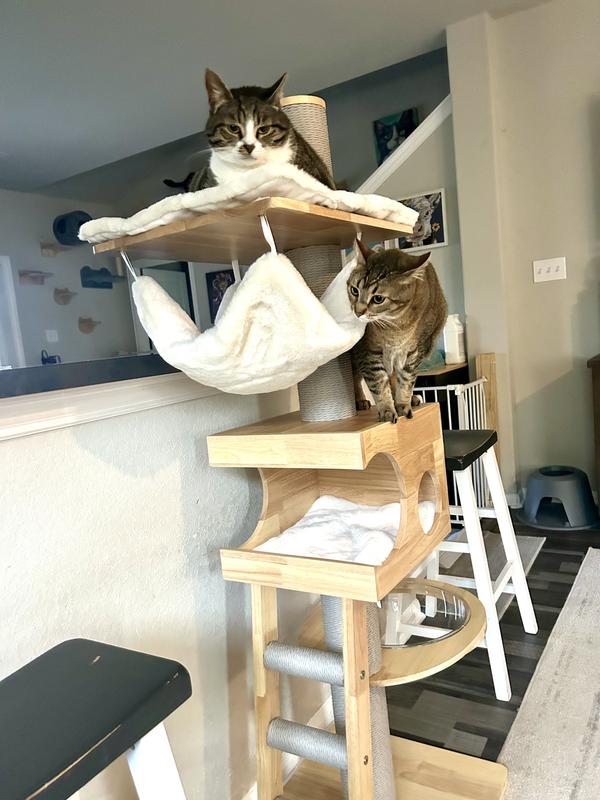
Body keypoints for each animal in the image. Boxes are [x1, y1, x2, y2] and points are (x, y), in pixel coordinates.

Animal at [348, 240, 448, 423]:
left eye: (378, 299)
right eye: (354, 290)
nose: (358, 312)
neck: (395, 328)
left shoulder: (415, 352)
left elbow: (406, 381)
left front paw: (402, 404)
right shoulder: (367, 352)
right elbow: (378, 383)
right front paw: (387, 409)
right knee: (355, 377)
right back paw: (359, 400)